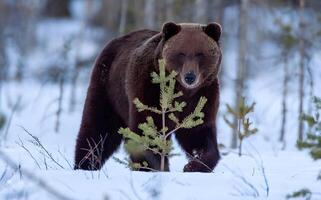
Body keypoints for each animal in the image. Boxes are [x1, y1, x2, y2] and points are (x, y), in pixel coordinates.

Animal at [74, 21, 221, 172]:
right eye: (181, 53)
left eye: (200, 54)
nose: (190, 77)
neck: (181, 90)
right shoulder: (149, 90)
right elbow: (148, 130)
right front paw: (153, 166)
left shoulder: (202, 96)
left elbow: (197, 133)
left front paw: (195, 164)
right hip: (108, 87)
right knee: (98, 128)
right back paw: (85, 163)